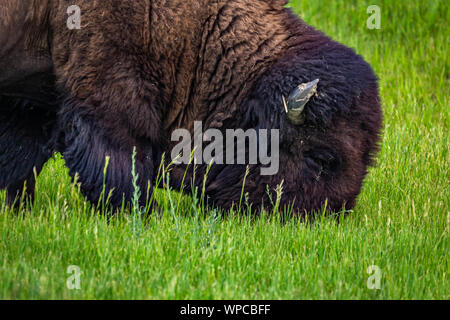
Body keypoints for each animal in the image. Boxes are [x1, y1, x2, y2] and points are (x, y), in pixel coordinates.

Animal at [0, 0, 384, 218]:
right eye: (322, 158)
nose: (329, 218)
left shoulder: (35, 94)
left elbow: (20, 158)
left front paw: (17, 210)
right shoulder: (107, 93)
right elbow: (120, 161)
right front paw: (146, 216)